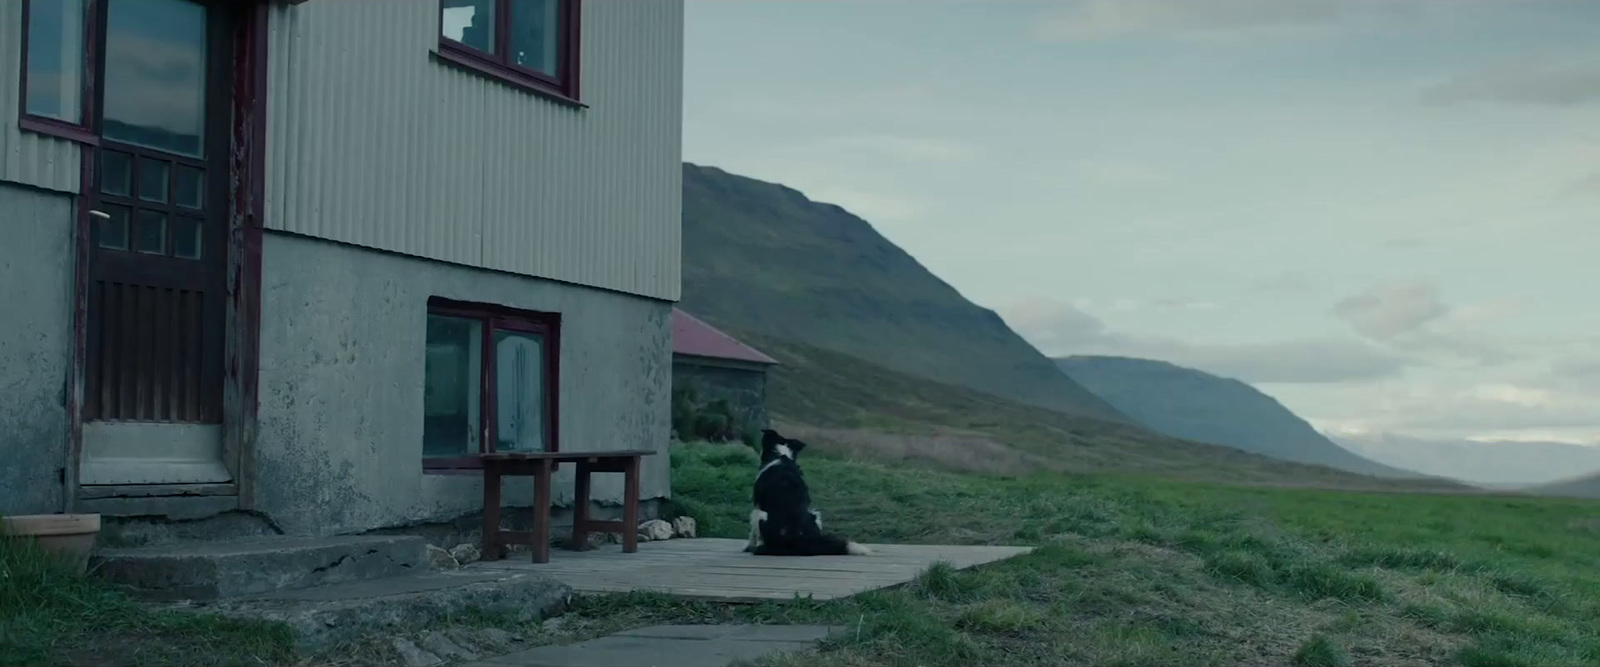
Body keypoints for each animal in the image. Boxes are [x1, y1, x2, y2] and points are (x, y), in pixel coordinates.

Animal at [739, 428, 870, 553]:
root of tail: (799, 541)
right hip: (816, 515)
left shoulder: (757, 506)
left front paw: (748, 547)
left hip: (763, 515)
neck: (781, 455)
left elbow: (752, 532)